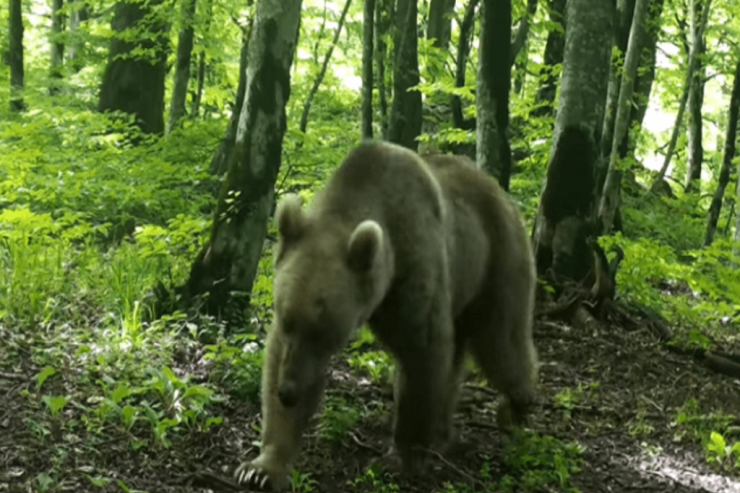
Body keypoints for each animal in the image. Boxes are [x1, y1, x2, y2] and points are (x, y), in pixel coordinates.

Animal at [237, 140, 536, 490]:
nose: (288, 392)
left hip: (497, 257)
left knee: (501, 341)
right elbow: (277, 361)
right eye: (286, 320)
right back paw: (445, 433)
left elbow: (422, 355)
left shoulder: (414, 271)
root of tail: (499, 190)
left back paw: (516, 405)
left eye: (322, 330)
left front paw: (401, 457)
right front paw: (260, 467)